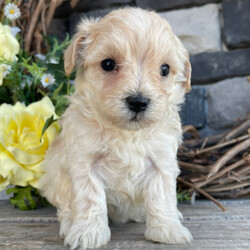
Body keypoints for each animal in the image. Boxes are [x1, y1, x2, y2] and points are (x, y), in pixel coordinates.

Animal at [39, 6, 191, 249]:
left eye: (165, 69)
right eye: (108, 64)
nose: (138, 102)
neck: (125, 132)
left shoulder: (162, 161)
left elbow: (162, 196)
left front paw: (167, 229)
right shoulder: (84, 162)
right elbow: (90, 197)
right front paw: (88, 232)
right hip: (55, 177)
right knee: (65, 206)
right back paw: (70, 223)